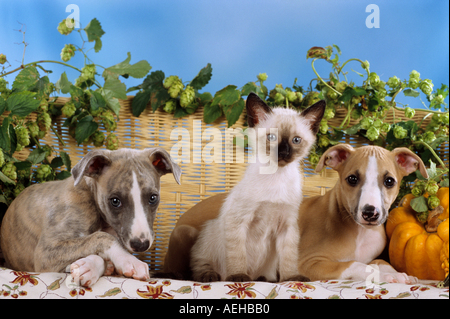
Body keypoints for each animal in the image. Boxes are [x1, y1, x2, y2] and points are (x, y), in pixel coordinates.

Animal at [168, 92, 324, 282]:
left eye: (296, 140)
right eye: (271, 137)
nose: (283, 152)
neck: (276, 176)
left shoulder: (287, 226)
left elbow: (289, 258)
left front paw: (292, 278)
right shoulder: (238, 220)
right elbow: (238, 255)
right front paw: (239, 276)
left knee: (263, 275)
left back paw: (262, 278)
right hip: (208, 238)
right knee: (200, 267)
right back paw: (212, 276)